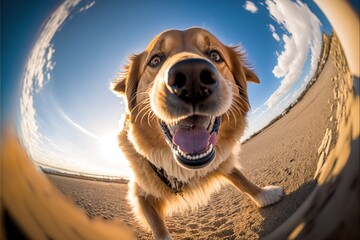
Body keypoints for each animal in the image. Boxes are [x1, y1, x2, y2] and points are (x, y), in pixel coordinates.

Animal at [112, 27, 284, 239]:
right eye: (155, 60)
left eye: (215, 55)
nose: (191, 74)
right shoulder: (140, 193)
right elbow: (158, 227)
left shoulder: (220, 160)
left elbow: (240, 178)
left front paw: (263, 194)